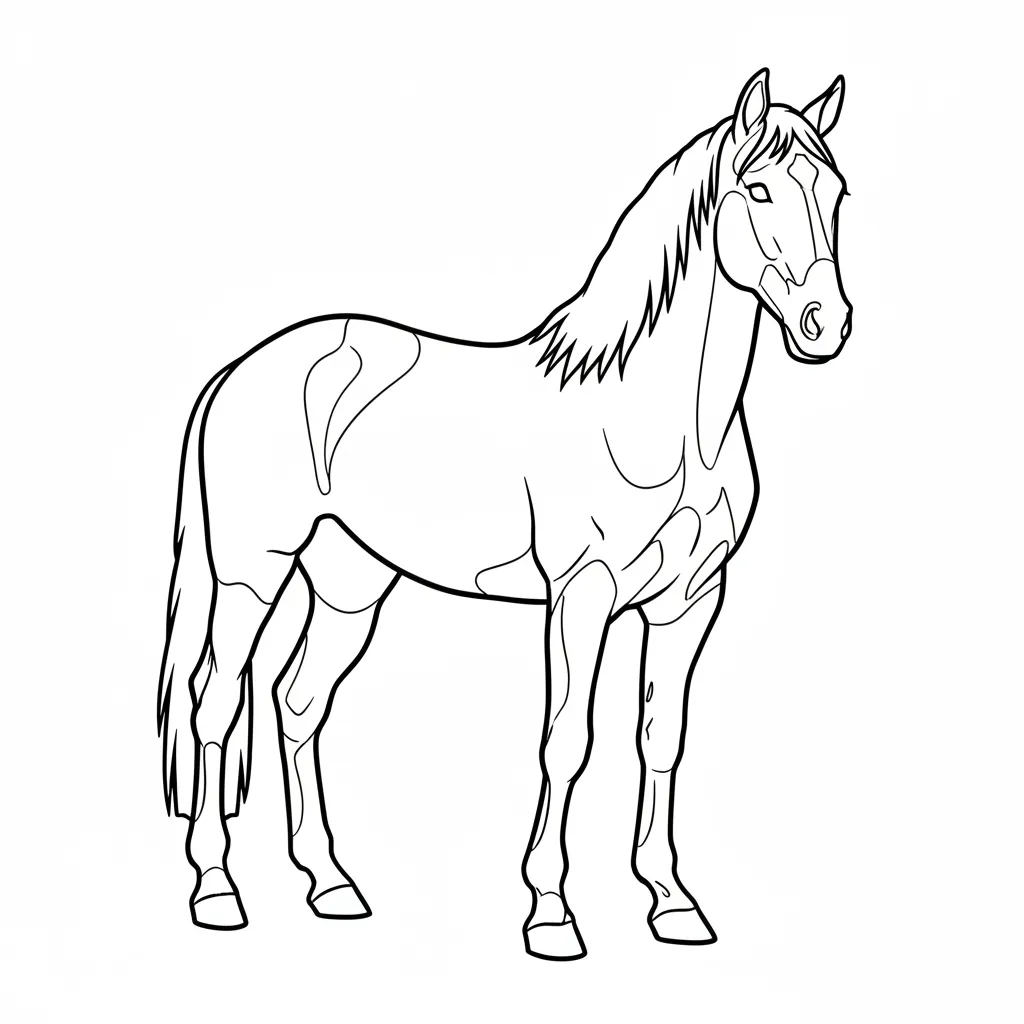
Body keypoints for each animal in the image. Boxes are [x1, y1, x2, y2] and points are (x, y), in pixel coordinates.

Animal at [157, 68, 852, 960]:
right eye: (758, 190)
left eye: (835, 193)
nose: (826, 325)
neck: (662, 418)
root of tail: (238, 370)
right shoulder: (581, 595)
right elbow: (568, 743)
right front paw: (551, 913)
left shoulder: (691, 602)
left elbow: (661, 738)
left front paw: (672, 903)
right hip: (253, 573)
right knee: (216, 701)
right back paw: (216, 889)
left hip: (349, 584)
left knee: (298, 704)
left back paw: (332, 886)